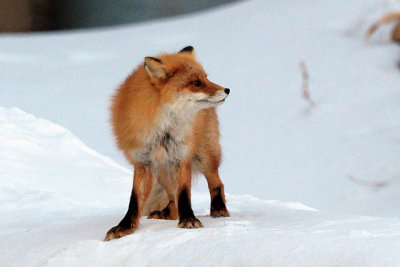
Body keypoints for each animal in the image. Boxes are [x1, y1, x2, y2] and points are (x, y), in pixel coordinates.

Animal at [104, 46, 230, 243]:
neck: (164, 130)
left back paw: (219, 209)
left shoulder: (181, 157)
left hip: (204, 156)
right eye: (196, 82)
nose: (227, 90)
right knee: (172, 200)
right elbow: (135, 200)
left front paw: (189, 219)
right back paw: (166, 213)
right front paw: (124, 227)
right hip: (162, 171)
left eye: (206, 78)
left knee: (217, 183)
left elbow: (184, 193)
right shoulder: (143, 162)